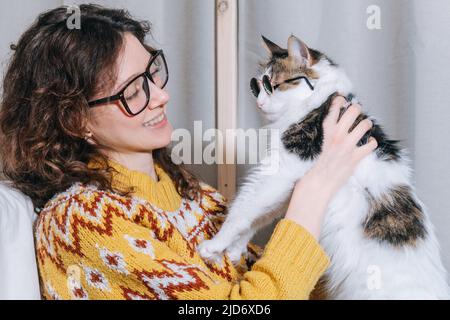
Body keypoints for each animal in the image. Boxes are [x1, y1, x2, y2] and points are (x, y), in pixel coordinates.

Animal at [199, 33, 450, 298]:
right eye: (256, 87)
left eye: (272, 85)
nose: (259, 103)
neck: (319, 101)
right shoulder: (291, 186)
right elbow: (257, 217)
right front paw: (233, 250)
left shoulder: (282, 170)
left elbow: (243, 208)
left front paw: (214, 245)